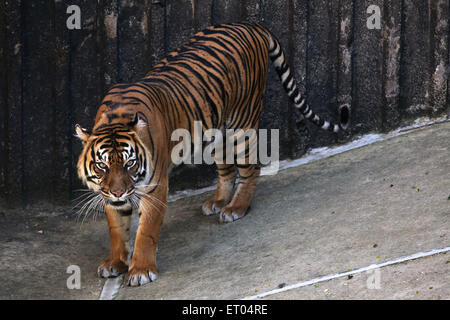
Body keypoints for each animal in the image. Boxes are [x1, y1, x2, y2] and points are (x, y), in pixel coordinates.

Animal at [75, 22, 350, 288]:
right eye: (102, 166)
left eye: (130, 163)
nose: (118, 192)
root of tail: (251, 24)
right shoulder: (109, 195)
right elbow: (117, 229)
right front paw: (115, 262)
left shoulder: (155, 187)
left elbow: (146, 233)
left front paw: (141, 271)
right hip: (213, 133)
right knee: (227, 169)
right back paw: (219, 201)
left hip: (242, 126)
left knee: (251, 169)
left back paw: (236, 208)